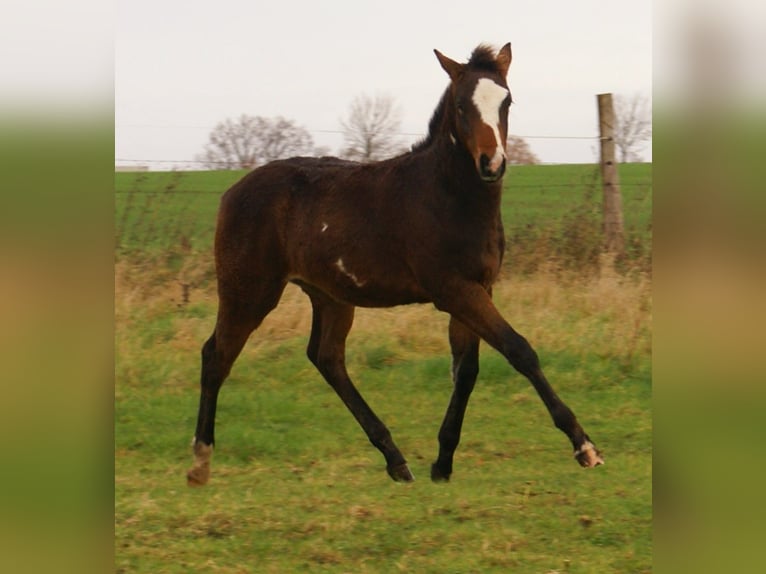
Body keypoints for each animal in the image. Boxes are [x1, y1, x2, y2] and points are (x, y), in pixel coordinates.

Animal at [187, 43, 603, 486]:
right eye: (461, 105)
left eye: (506, 101)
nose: (492, 164)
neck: (446, 196)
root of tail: (232, 192)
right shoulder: (454, 289)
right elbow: (518, 349)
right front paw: (584, 446)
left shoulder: (478, 288)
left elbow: (466, 370)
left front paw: (442, 463)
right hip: (249, 290)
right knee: (216, 355)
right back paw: (199, 462)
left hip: (330, 296)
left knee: (327, 357)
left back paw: (396, 459)